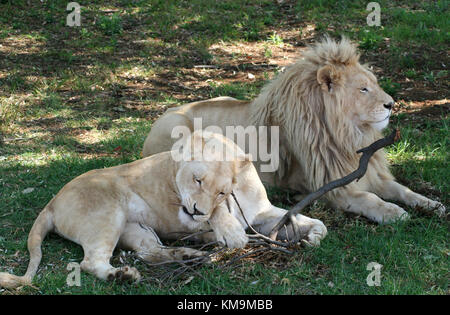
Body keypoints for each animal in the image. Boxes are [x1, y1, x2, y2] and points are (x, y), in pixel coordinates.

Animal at [0, 132, 326, 290]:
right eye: (197, 180)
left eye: (221, 191)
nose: (196, 211)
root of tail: (51, 202)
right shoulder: (185, 209)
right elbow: (219, 217)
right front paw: (231, 234)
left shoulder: (260, 212)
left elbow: (311, 221)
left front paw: (310, 236)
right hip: (108, 212)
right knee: (90, 262)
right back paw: (123, 276)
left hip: (136, 229)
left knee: (150, 253)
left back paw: (191, 256)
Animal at [142, 37, 444, 225]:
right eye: (363, 89)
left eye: (374, 84)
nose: (391, 104)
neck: (349, 136)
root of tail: (163, 113)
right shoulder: (334, 189)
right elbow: (371, 199)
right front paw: (394, 213)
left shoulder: (371, 174)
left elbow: (404, 190)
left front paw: (432, 204)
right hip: (177, 128)